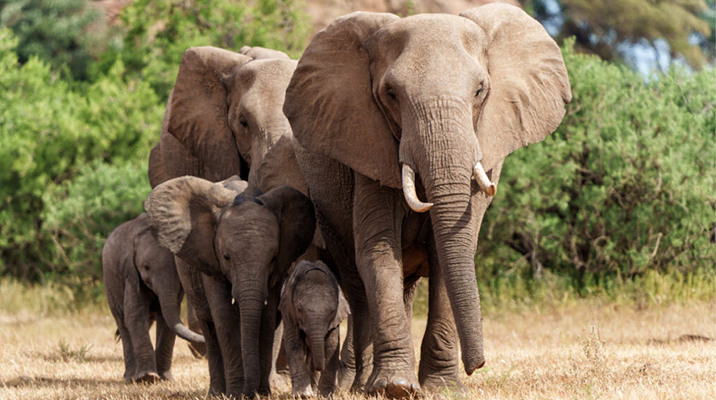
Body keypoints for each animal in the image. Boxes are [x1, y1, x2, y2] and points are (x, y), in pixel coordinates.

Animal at [102, 213, 205, 383]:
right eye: (146, 267)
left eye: (177, 268)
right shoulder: (131, 274)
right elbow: (135, 316)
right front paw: (148, 378)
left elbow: (167, 320)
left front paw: (165, 379)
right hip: (109, 283)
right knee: (122, 322)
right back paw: (130, 377)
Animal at [145, 176, 316, 397]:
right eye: (226, 256)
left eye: (273, 258)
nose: (249, 392)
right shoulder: (210, 259)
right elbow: (224, 316)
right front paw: (236, 394)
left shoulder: (278, 269)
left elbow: (267, 317)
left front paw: (262, 394)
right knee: (209, 327)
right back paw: (217, 392)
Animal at [279, 260, 350, 397]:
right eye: (299, 309)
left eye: (332, 311)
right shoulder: (289, 311)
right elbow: (293, 341)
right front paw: (302, 396)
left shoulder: (335, 319)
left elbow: (332, 344)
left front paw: (325, 395)